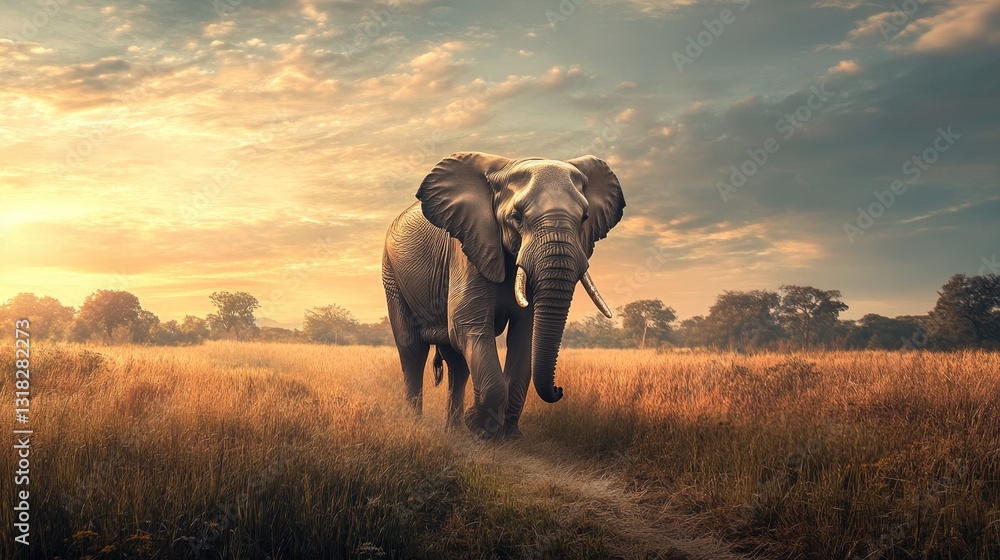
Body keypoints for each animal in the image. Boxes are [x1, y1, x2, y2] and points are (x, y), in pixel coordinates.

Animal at [382, 152, 625, 439]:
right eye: (517, 218)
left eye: (585, 218)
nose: (559, 390)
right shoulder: (469, 248)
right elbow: (469, 325)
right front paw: (480, 427)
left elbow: (525, 335)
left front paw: (507, 436)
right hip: (392, 275)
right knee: (412, 350)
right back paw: (417, 424)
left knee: (457, 362)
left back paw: (454, 431)